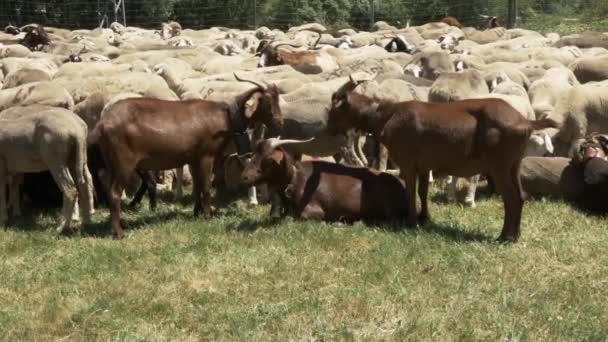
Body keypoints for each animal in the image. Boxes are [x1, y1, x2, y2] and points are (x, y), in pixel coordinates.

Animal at [89, 74, 284, 238]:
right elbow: (205, 186)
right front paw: (207, 215)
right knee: (114, 193)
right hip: (124, 163)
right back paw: (119, 233)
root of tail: (103, 123)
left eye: (277, 98)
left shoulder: (193, 158)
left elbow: (197, 185)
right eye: (266, 101)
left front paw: (197, 212)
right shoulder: (206, 155)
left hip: (112, 163)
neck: (226, 117)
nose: (279, 122)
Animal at [241, 138, 408, 222]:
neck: (296, 179)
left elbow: (300, 215)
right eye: (254, 154)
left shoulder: (314, 209)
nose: (245, 177)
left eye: (269, 160)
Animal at [326, 75, 560, 240]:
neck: (387, 116)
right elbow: (422, 191)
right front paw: (424, 218)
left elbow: (411, 191)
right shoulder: (423, 165)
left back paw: (505, 236)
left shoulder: (408, 163)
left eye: (335, 109)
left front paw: (411, 221)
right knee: (520, 196)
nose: (329, 128)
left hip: (500, 166)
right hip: (514, 164)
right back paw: (515, 235)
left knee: (511, 198)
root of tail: (525, 121)